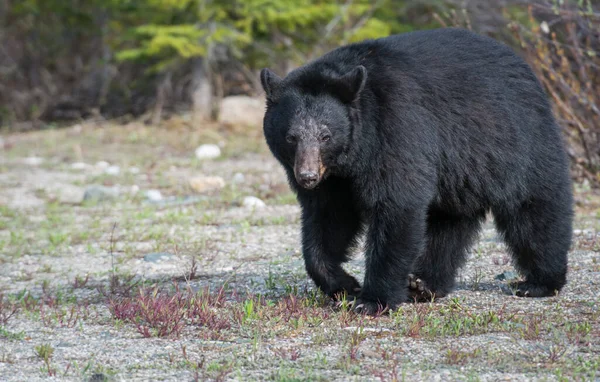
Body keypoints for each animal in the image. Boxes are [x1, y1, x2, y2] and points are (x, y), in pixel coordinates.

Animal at [260, 26, 576, 314]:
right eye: (291, 137)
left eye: (325, 135)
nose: (307, 177)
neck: (353, 154)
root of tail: (524, 66)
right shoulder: (334, 180)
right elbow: (328, 219)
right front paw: (344, 284)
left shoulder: (396, 129)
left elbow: (396, 204)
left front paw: (372, 300)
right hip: (460, 174)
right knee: (448, 223)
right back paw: (424, 284)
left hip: (516, 140)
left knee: (533, 208)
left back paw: (539, 282)